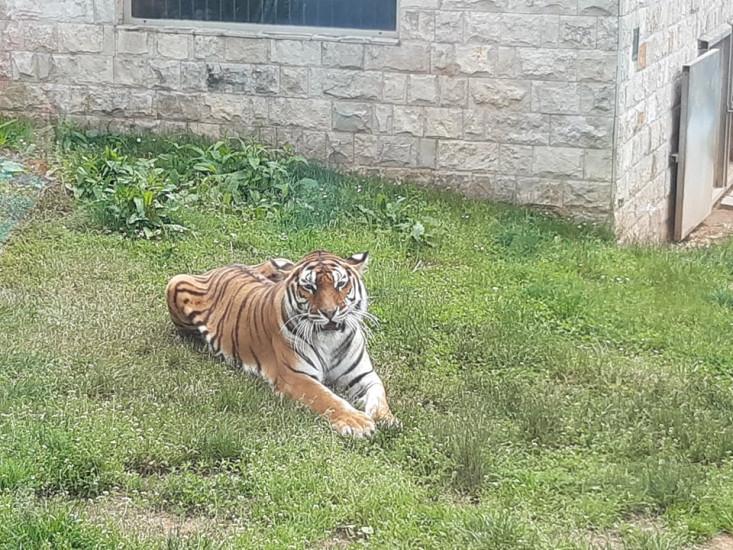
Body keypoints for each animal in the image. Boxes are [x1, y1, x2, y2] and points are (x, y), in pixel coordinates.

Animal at [164, 252, 394, 438]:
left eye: (340, 284)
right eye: (309, 286)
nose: (329, 313)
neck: (330, 340)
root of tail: (224, 267)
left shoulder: (364, 375)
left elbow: (379, 395)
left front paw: (386, 419)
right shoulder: (297, 377)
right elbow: (328, 398)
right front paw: (357, 422)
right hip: (175, 281)